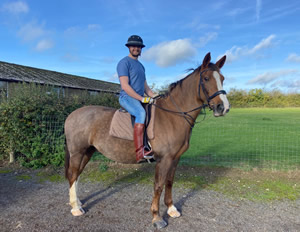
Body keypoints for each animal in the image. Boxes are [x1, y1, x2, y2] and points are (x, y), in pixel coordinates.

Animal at [64, 52, 231, 228]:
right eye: (206, 78)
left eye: (222, 78)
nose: (223, 107)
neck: (173, 115)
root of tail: (71, 115)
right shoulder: (164, 159)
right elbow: (158, 186)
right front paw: (157, 217)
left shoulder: (175, 158)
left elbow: (169, 182)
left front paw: (171, 209)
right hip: (77, 152)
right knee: (73, 175)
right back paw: (75, 208)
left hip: (87, 151)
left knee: (77, 175)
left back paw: (78, 203)